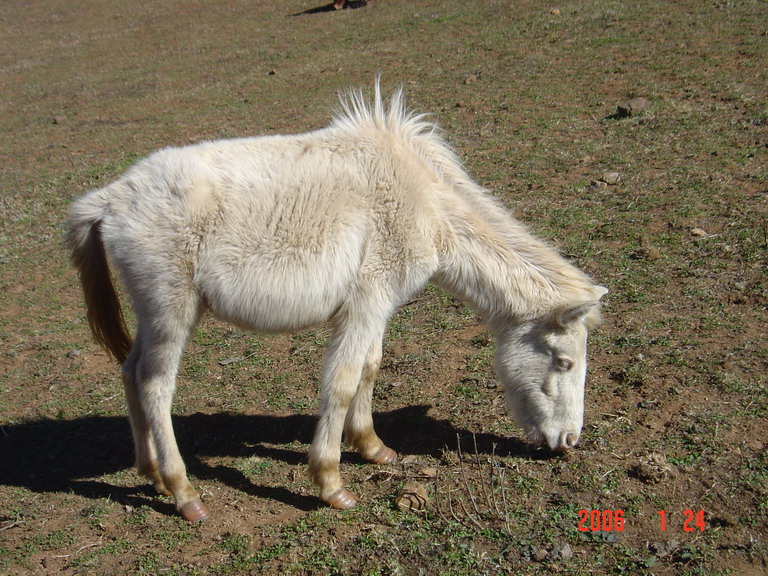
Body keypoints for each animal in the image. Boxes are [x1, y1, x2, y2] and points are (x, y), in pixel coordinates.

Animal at [66, 82, 608, 520]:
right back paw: (184, 493)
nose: (568, 442)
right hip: (171, 311)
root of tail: (110, 198)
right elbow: (343, 382)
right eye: (564, 362)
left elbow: (370, 366)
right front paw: (331, 483)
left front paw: (371, 447)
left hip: (153, 313)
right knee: (155, 386)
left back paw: (150, 473)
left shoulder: (378, 307)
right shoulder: (366, 302)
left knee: (130, 371)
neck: (423, 199)